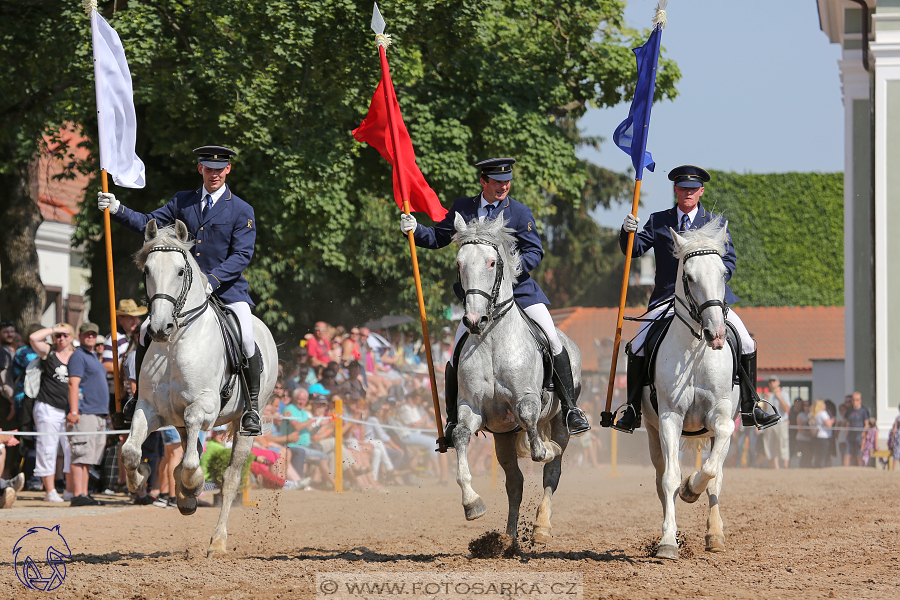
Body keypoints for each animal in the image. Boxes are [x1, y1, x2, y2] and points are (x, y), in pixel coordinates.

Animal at [121, 220, 278, 556]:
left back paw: (217, 539)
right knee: (187, 449)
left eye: (181, 271)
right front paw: (141, 479)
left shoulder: (204, 407)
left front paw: (192, 484)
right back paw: (183, 497)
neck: (175, 343)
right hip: (177, 422)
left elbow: (193, 458)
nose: (159, 328)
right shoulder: (149, 409)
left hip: (244, 425)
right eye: (147, 270)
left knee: (230, 477)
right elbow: (129, 450)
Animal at [450, 213, 576, 548]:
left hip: (560, 420)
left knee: (552, 472)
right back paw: (508, 541)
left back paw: (541, 527)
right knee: (515, 483)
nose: (473, 321)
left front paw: (546, 448)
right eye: (459, 263)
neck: (492, 338)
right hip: (503, 436)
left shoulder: (527, 399)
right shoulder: (471, 408)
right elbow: (460, 436)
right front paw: (472, 504)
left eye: (492, 262)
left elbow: (535, 438)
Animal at [644, 218, 740, 560]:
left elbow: (711, 473)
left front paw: (691, 489)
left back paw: (715, 535)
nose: (717, 334)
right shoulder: (669, 418)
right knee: (660, 478)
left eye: (724, 273)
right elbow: (670, 478)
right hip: (652, 430)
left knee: (717, 477)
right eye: (688, 276)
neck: (697, 352)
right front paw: (667, 542)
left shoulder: (721, 418)